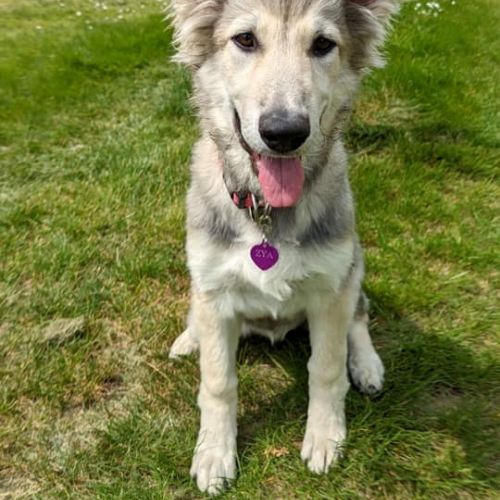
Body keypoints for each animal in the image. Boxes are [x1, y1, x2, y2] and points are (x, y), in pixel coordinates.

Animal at [168, 0, 397, 494]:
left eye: (323, 45)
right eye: (245, 39)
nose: (285, 132)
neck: (268, 213)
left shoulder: (331, 289)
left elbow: (326, 368)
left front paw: (325, 436)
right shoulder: (214, 289)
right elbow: (218, 381)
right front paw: (214, 452)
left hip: (354, 263)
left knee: (360, 315)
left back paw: (367, 365)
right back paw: (188, 337)